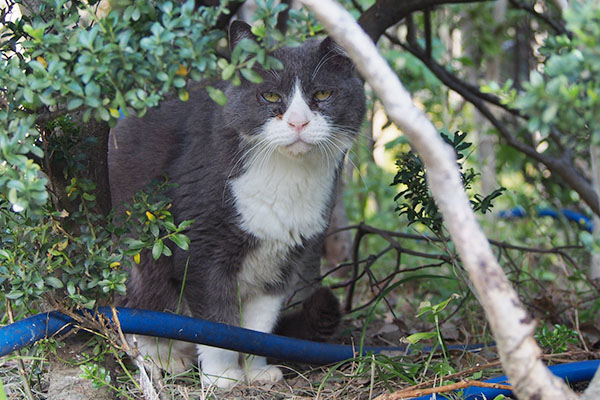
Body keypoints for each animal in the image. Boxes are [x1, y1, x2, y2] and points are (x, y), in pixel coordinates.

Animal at [109, 21, 366, 388]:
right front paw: (223, 376)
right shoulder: (201, 248)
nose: (298, 122)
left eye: (322, 95)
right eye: (270, 96)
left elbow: (258, 325)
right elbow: (217, 323)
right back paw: (164, 358)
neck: (286, 174)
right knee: (136, 309)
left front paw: (256, 371)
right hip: (136, 253)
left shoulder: (282, 261)